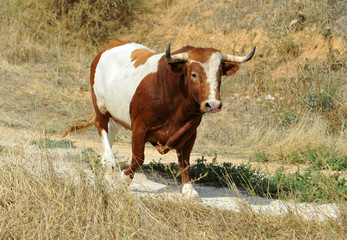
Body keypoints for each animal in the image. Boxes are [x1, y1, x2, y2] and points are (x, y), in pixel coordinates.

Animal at [64, 39, 256, 201]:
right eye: (194, 74)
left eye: (219, 74)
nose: (213, 104)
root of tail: (113, 44)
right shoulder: (139, 128)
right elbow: (138, 158)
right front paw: (123, 180)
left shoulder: (190, 132)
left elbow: (185, 162)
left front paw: (188, 190)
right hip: (100, 106)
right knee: (102, 128)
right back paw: (110, 162)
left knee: (111, 131)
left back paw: (106, 164)